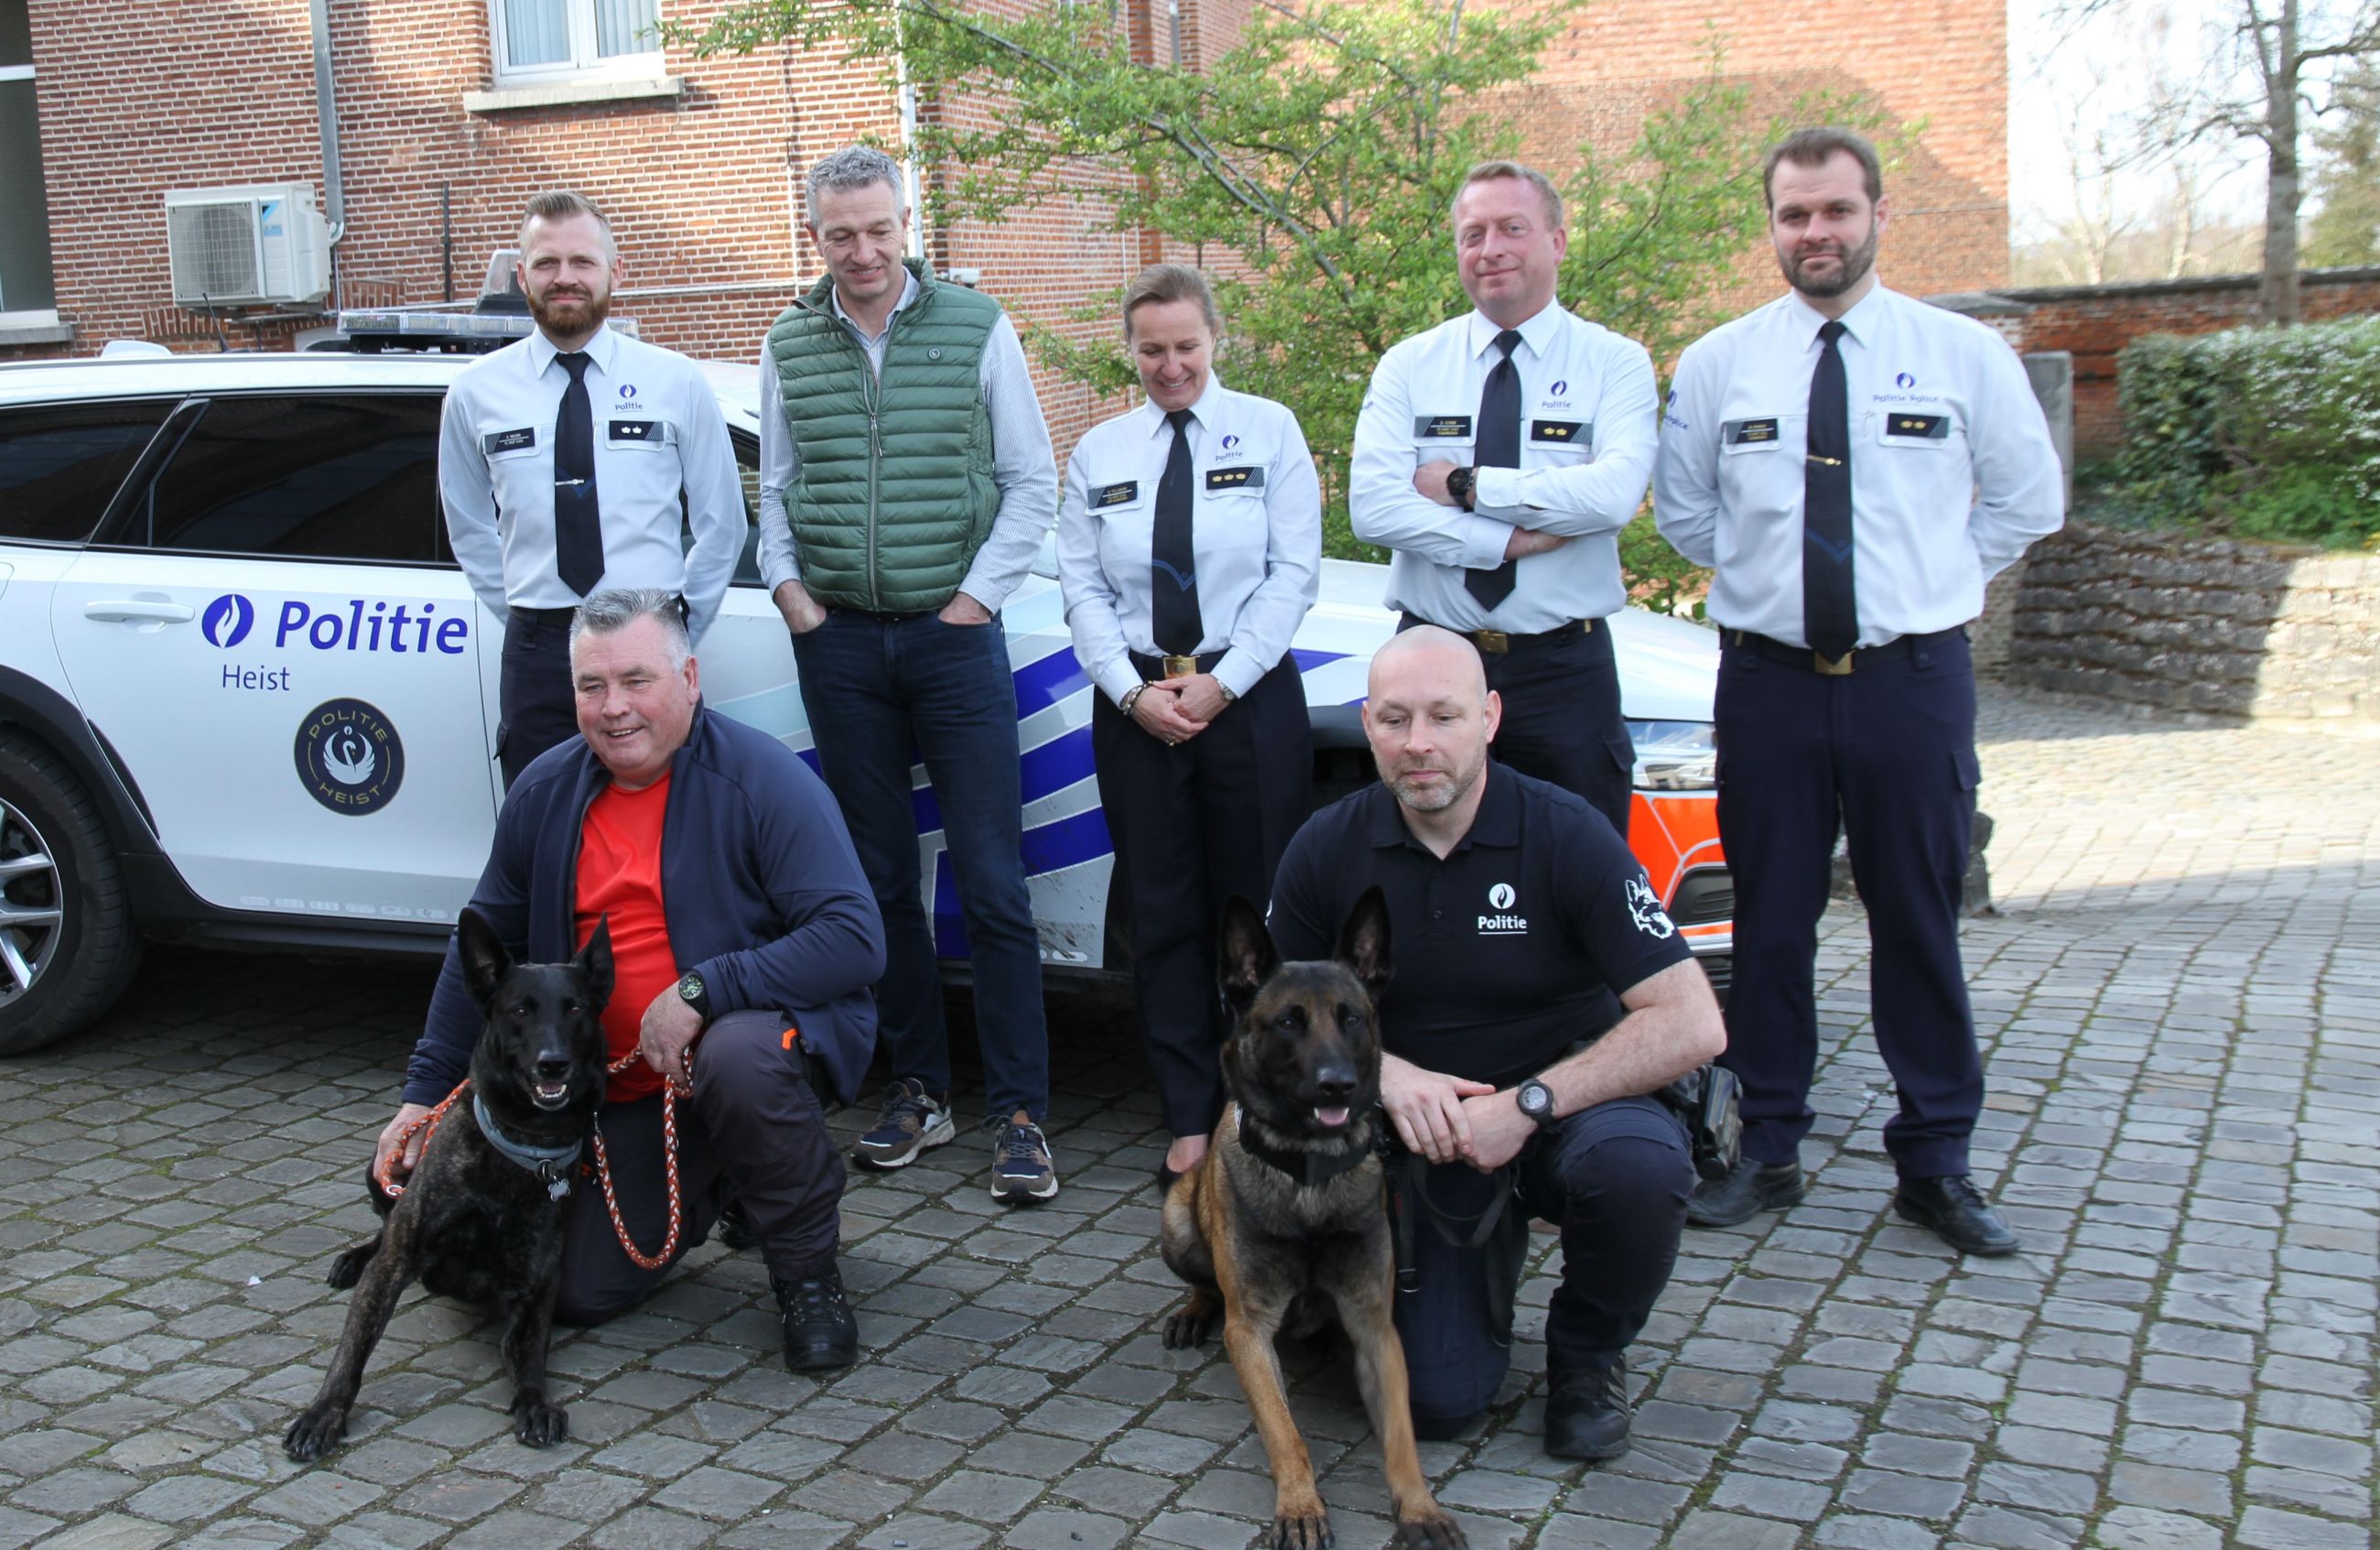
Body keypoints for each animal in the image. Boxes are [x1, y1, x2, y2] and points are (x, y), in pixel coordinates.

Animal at [286, 909, 613, 1466]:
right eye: (520, 1010)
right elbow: (352, 1351)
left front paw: (535, 1404)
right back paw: (353, 1261)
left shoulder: (535, 1287)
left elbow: (528, 1357)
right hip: (385, 1172)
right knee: (383, 1226)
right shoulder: (397, 1263)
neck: (522, 1145)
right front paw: (322, 1413)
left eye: (575, 1009)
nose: (553, 1062)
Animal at [1161, 885, 1456, 1550]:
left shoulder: (1375, 1326)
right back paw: (1194, 1309)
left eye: (1351, 1017)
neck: (1309, 1178)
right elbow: (1284, 1432)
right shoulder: (1249, 1330)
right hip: (1177, 1219)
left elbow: (1402, 1438)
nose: (1337, 1085)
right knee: (1205, 1280)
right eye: (1289, 1022)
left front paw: (1419, 1508)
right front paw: (1299, 1505)